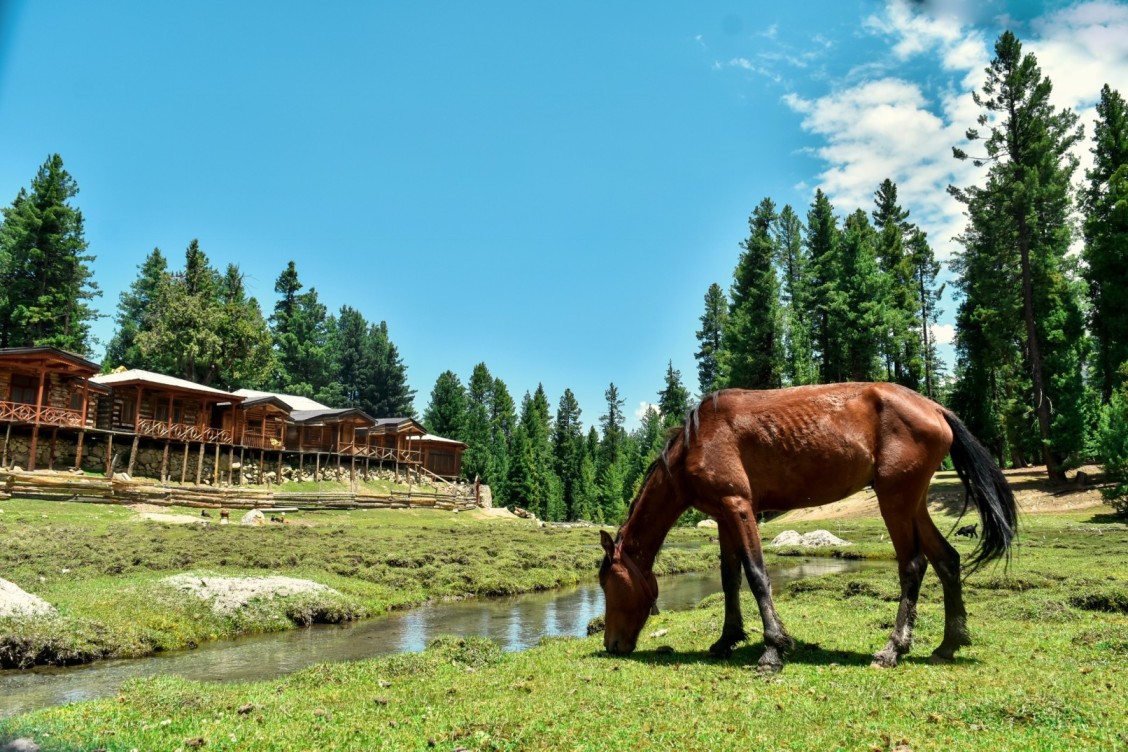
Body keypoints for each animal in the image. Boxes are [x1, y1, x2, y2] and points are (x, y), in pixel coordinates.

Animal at [600, 385, 1024, 671]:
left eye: (607, 585)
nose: (611, 644)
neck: (698, 441)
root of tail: (935, 407)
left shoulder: (738, 507)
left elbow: (756, 574)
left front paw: (773, 648)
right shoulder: (723, 514)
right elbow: (729, 577)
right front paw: (727, 639)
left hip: (896, 501)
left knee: (913, 566)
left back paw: (893, 649)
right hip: (913, 502)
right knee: (947, 560)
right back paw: (948, 644)